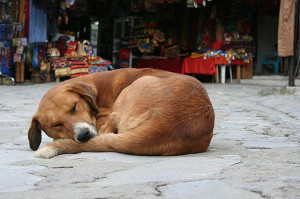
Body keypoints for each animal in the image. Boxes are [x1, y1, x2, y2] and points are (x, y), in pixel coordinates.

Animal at [28, 68, 214, 159]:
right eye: (56, 125)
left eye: (74, 107)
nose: (83, 135)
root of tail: (163, 126)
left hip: (132, 89)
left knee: (105, 131)